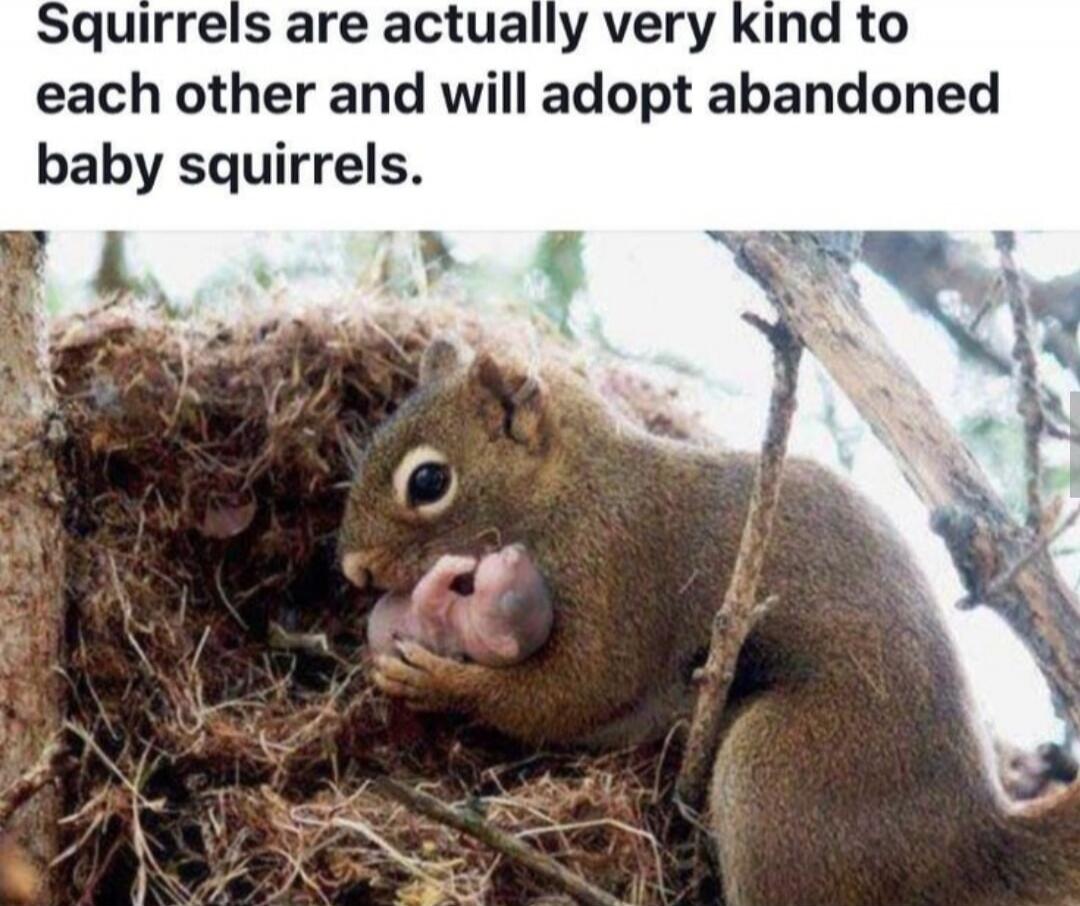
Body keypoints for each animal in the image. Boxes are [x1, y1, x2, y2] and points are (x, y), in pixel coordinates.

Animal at [339, 336, 1080, 906]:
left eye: (429, 482)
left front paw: (437, 680)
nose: (354, 570)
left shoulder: (620, 569)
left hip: (780, 773)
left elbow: (575, 692)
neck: (573, 488)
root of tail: (968, 851)